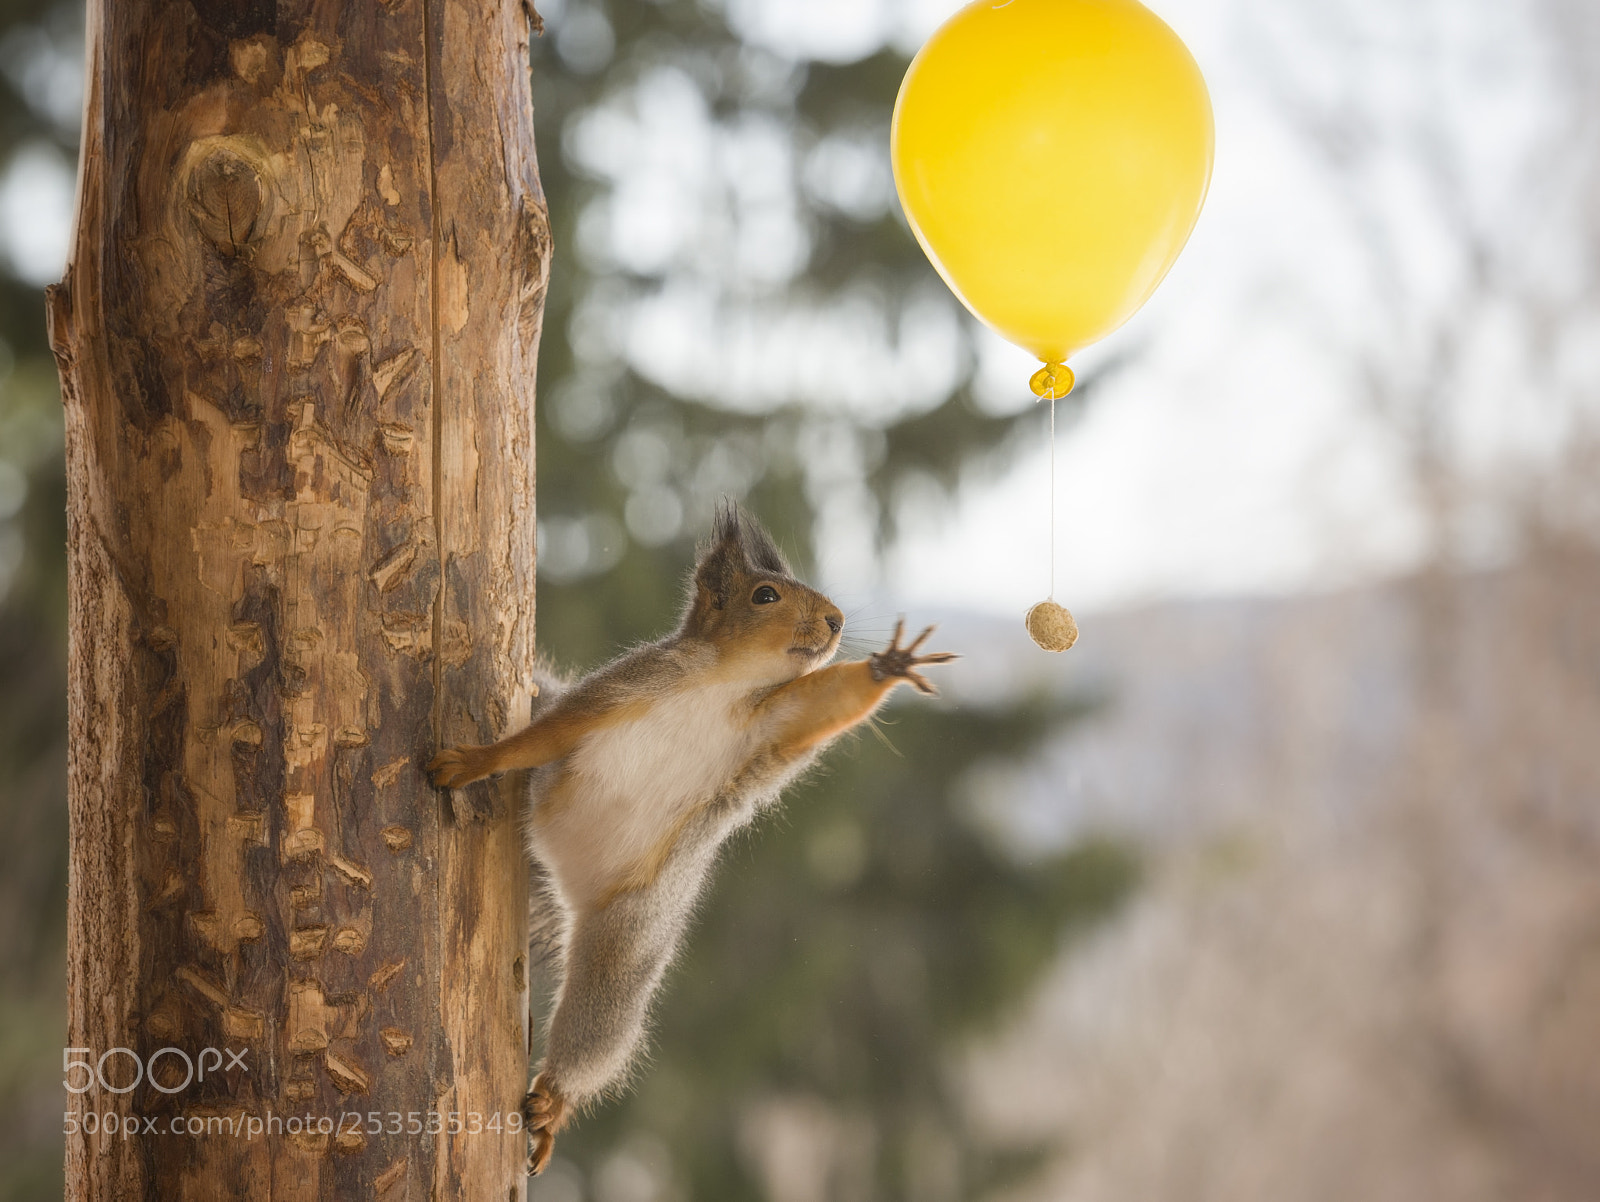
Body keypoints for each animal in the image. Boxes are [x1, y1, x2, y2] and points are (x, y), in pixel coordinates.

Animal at [426, 504, 956, 1175]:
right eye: (765, 595)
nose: (836, 620)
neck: (724, 683)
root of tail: (563, 872)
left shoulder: (777, 719)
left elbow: (828, 700)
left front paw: (890, 666)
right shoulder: (629, 684)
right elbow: (549, 733)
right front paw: (476, 761)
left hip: (631, 931)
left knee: (600, 1023)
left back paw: (553, 1105)